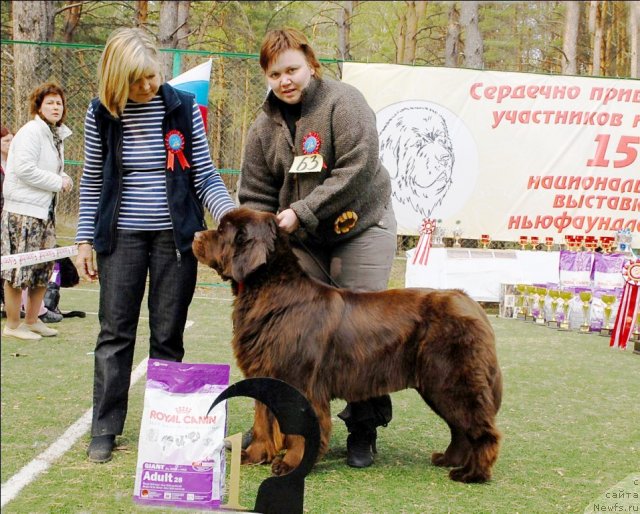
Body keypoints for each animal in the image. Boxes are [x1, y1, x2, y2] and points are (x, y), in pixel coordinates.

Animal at [192, 205, 502, 480]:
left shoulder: (300, 381)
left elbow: (298, 430)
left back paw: (472, 473)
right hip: (438, 385)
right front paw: (254, 456)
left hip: (451, 381)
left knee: (481, 429)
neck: (270, 292)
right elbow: (263, 422)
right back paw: (448, 460)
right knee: (459, 428)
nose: (195, 234)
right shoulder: (266, 375)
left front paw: (291, 465)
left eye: (222, 230)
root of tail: (470, 303)